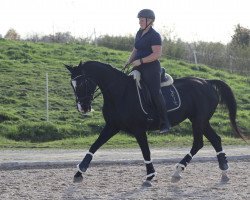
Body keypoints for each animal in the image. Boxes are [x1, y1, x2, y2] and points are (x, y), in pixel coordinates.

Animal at [65, 60, 243, 184]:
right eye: (72, 84)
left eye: (82, 82)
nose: (83, 107)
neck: (119, 92)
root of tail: (207, 82)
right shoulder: (112, 126)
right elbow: (94, 146)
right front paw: (80, 171)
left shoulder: (138, 129)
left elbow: (146, 152)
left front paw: (150, 175)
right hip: (200, 121)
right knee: (213, 140)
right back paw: (222, 171)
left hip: (199, 120)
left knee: (199, 142)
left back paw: (181, 169)